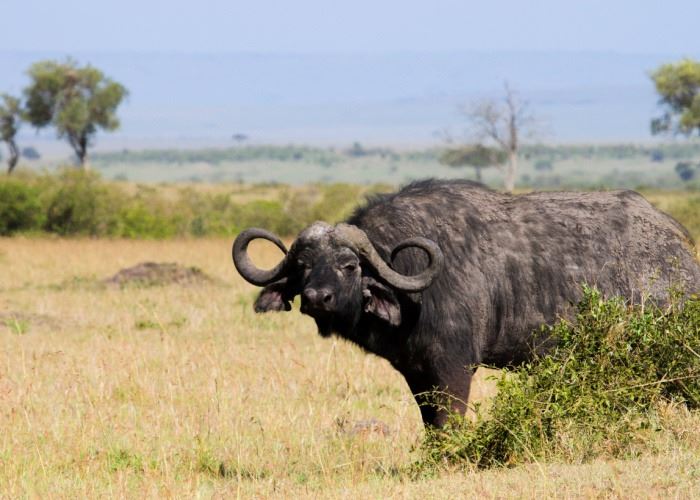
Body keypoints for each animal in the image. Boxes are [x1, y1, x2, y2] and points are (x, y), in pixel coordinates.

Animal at [232, 179, 700, 427]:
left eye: (349, 265)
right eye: (304, 266)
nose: (316, 298)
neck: (411, 289)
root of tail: (678, 245)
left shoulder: (454, 366)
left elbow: (449, 420)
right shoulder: (415, 371)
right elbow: (429, 422)